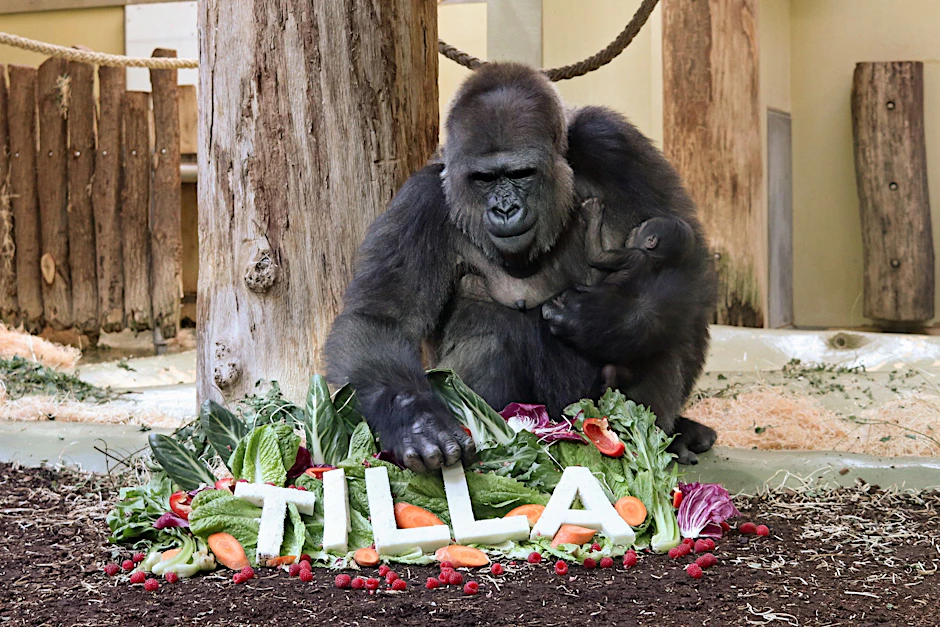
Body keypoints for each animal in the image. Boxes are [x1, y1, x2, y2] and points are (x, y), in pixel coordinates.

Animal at [325, 62, 719, 471]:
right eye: (485, 179)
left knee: (669, 324)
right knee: (492, 336)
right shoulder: (421, 202)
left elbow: (685, 256)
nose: (505, 209)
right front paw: (416, 421)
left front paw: (606, 319)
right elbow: (381, 319)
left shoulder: (613, 144)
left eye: (520, 174)